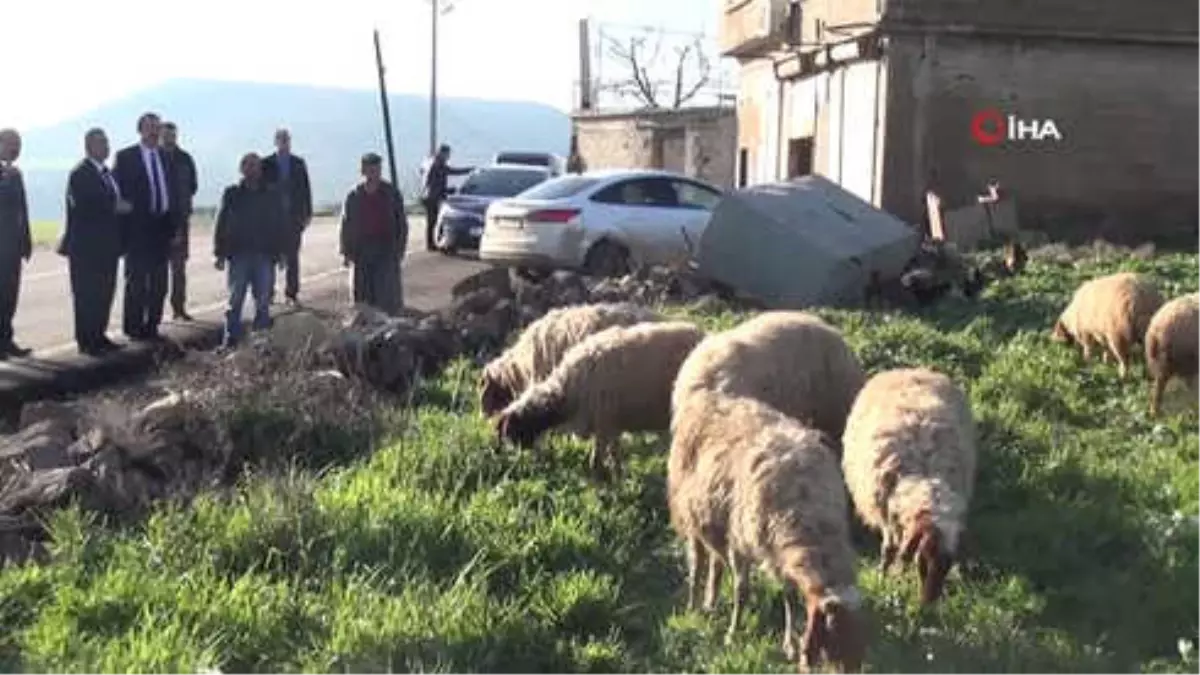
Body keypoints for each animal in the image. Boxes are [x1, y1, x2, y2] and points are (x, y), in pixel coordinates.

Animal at [494, 319, 700, 473]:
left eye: (511, 431)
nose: (521, 456)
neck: (567, 393)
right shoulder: (611, 423)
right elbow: (613, 453)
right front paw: (617, 474)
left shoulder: (604, 421)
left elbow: (598, 458)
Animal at [667, 389, 873, 667]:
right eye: (833, 637)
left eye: (859, 642)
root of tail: (711, 397)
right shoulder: (740, 542)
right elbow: (741, 590)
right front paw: (733, 634)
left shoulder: (780, 554)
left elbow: (789, 597)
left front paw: (789, 645)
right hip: (691, 513)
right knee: (697, 561)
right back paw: (693, 606)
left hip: (715, 520)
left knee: (715, 563)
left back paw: (710, 602)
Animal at [840, 367, 979, 605]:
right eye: (920, 562)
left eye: (946, 568)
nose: (927, 606)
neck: (925, 479)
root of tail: (912, 369)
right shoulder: (887, 516)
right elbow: (889, 550)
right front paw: (883, 577)